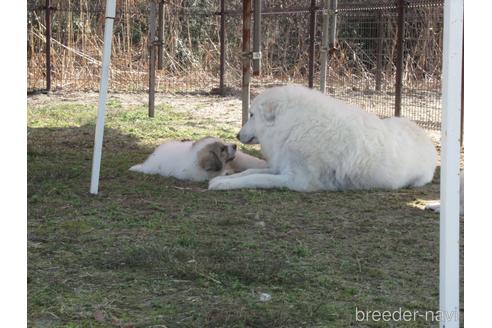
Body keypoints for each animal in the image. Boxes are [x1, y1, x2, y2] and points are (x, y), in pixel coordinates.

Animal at [209, 84, 436, 192]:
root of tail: (427, 138)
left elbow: (256, 178)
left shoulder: (297, 180)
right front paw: (222, 178)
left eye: (251, 115)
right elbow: (250, 171)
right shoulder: (282, 166)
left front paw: (221, 184)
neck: (293, 125)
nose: (237, 135)